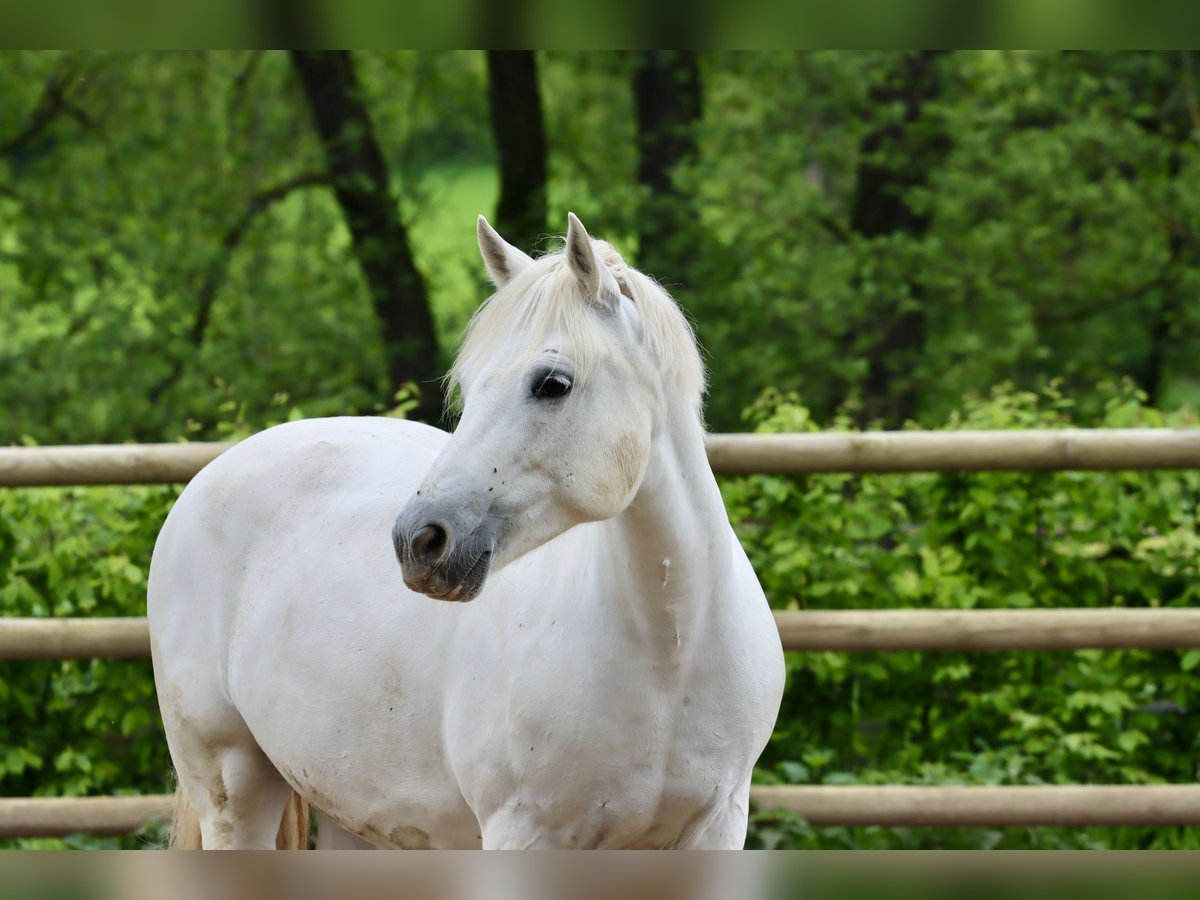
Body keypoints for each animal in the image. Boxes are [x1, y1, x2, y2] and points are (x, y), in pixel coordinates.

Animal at [147, 214, 787, 849]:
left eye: (552, 383)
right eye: (471, 381)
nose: (419, 542)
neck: (669, 657)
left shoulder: (718, 824)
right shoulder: (521, 832)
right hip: (234, 790)